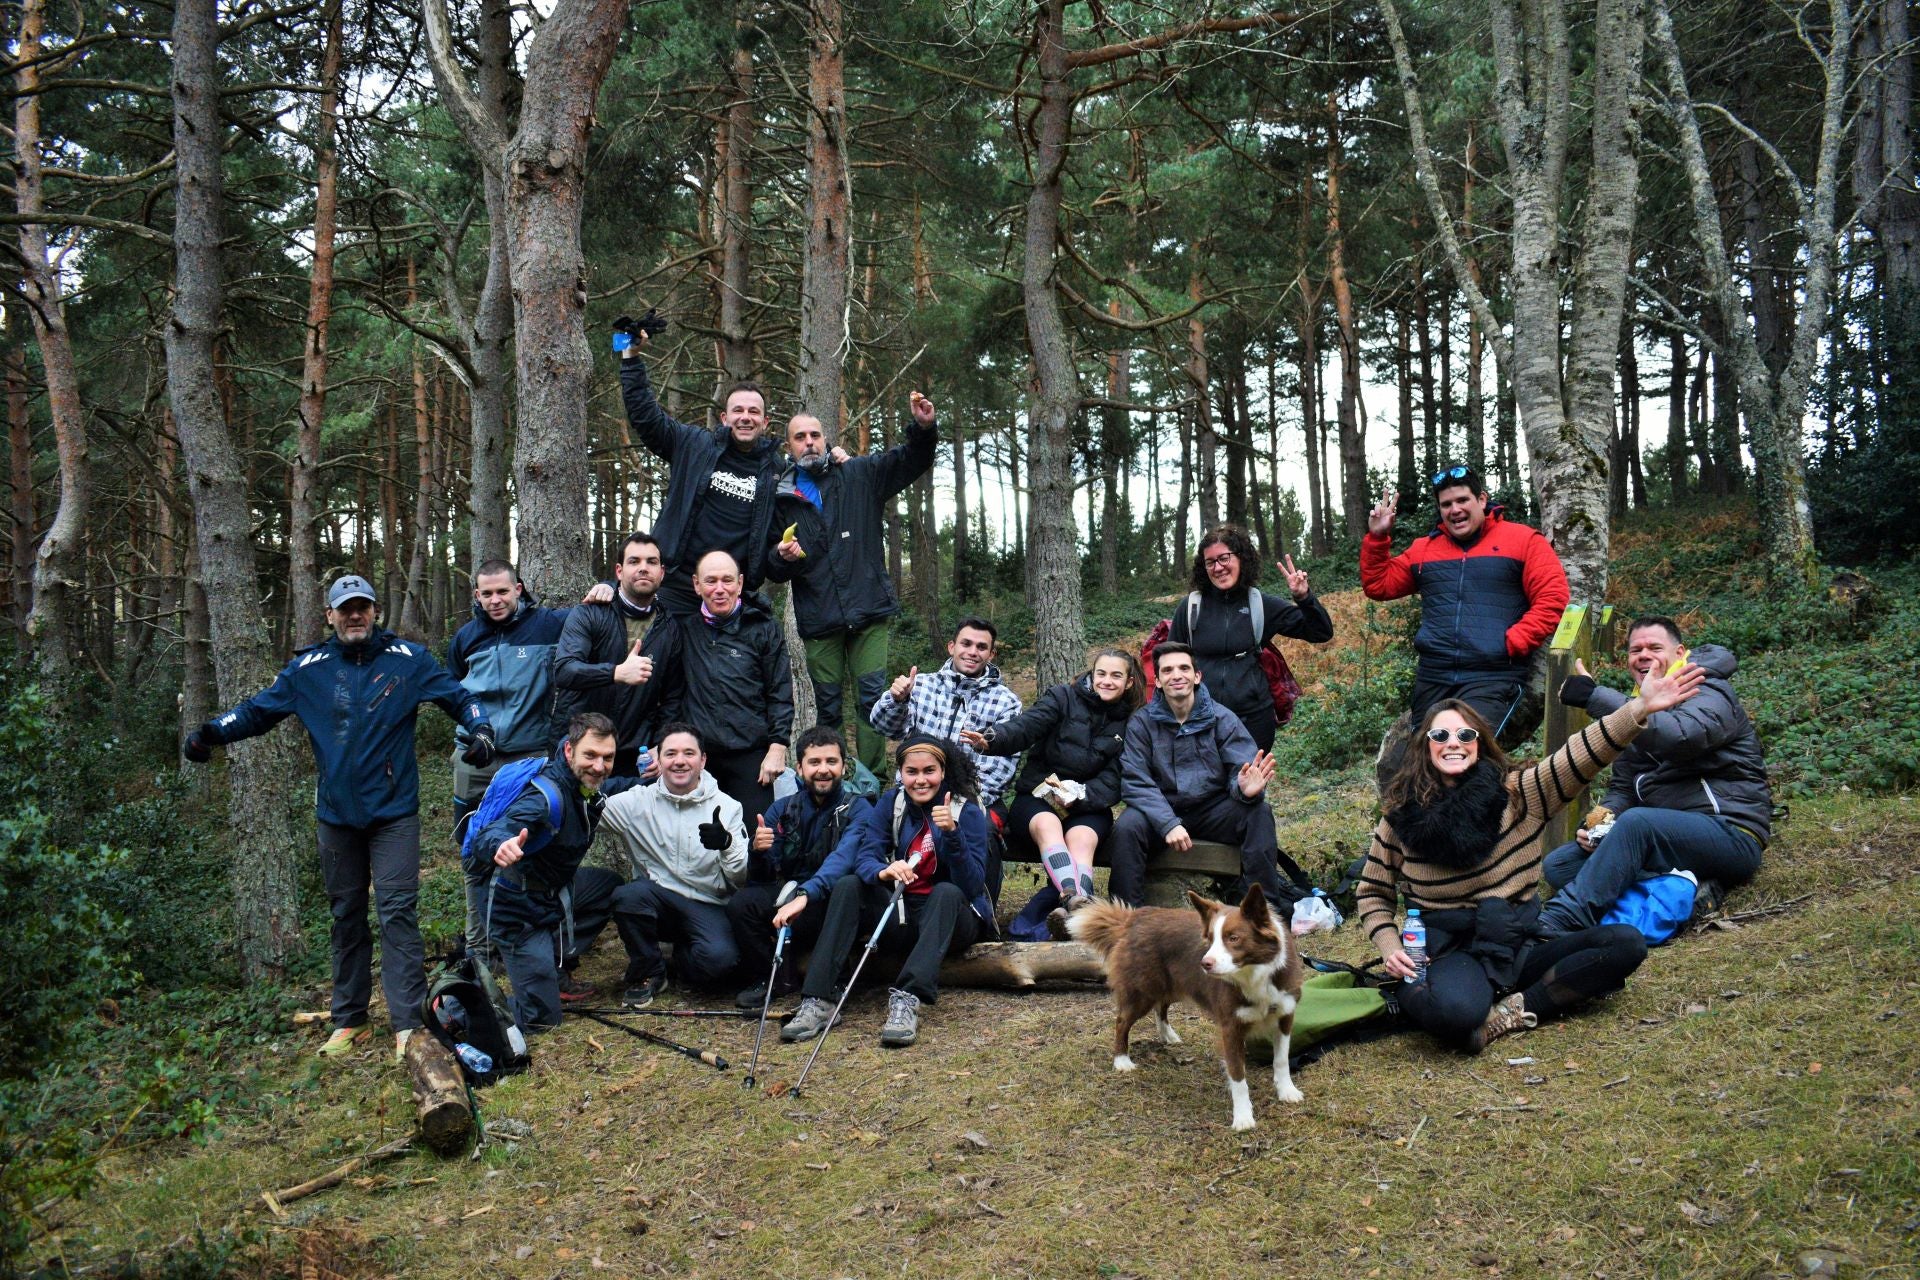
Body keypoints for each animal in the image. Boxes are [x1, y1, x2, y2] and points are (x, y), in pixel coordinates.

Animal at [1067, 882, 1305, 1128]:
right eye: (1210, 939)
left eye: (1233, 938)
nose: (1204, 963)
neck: (1254, 975)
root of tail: (1134, 918)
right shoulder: (1230, 1028)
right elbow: (1238, 1076)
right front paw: (1243, 1117)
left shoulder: (1285, 1017)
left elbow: (1281, 1060)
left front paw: (1287, 1091)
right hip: (1142, 992)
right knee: (1122, 1021)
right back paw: (1122, 1060)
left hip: (1171, 986)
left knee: (1161, 1007)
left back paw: (1168, 1036)